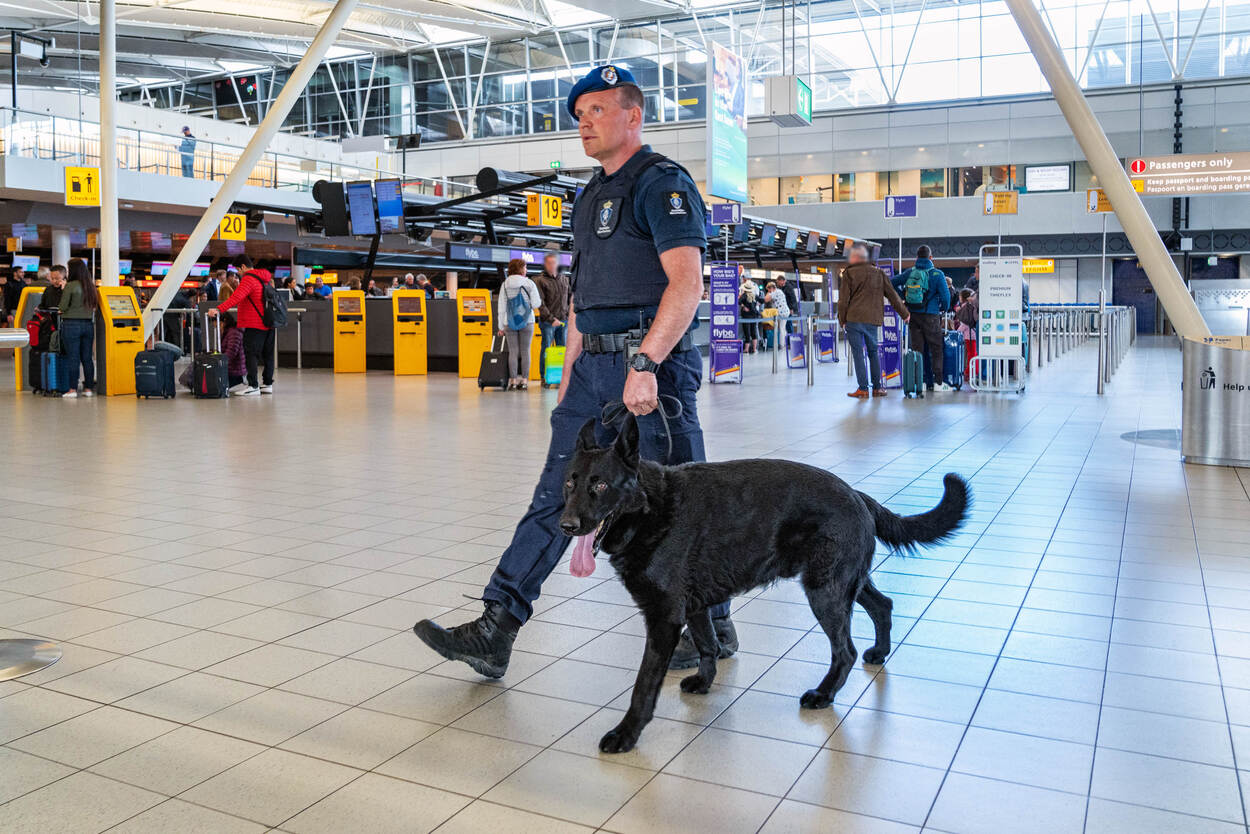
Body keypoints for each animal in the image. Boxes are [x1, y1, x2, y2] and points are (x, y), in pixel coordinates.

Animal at [559, 415, 970, 754]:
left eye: (600, 484)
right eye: (569, 482)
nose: (566, 525)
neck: (650, 511)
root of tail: (856, 494)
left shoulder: (664, 619)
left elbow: (644, 686)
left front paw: (626, 734)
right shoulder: (694, 607)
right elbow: (708, 645)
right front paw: (705, 682)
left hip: (825, 593)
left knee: (845, 651)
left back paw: (824, 694)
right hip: (844, 582)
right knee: (882, 605)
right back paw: (879, 652)